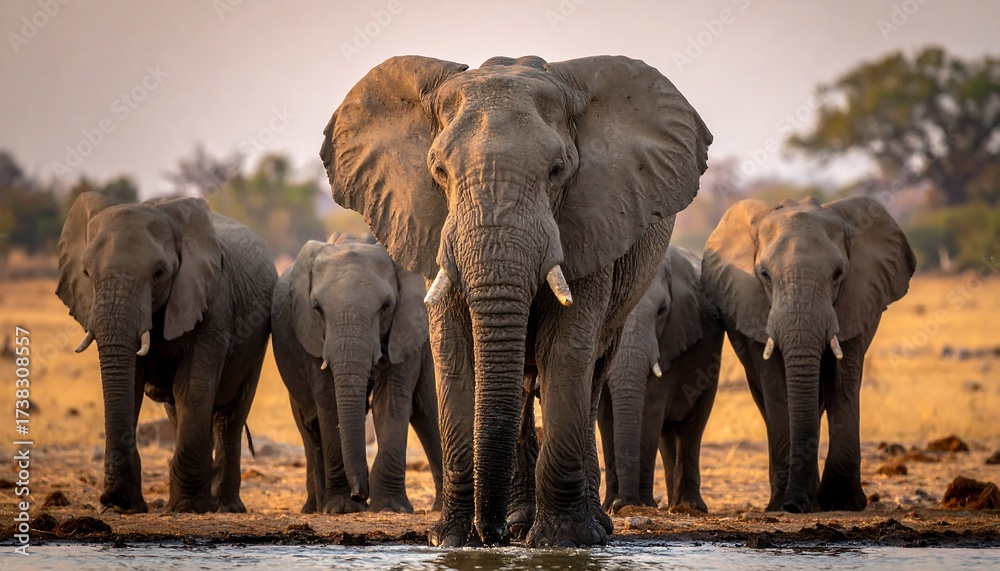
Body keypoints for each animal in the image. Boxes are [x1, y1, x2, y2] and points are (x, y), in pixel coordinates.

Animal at [57, 192, 277, 513]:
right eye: (87, 273)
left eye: (159, 273)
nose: (111, 502)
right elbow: (133, 387)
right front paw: (123, 506)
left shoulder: (212, 302)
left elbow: (193, 386)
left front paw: (190, 508)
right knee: (178, 411)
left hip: (257, 343)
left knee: (230, 415)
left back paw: (225, 506)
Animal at [270, 232, 443, 514]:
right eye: (317, 308)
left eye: (386, 306)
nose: (360, 494)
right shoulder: (310, 336)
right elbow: (329, 403)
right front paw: (342, 508)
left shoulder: (404, 328)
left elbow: (390, 401)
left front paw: (389, 508)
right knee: (308, 425)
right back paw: (314, 508)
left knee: (427, 414)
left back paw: (439, 508)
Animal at [598, 245, 723, 514]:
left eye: (662, 310)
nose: (625, 502)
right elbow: (605, 413)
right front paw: (611, 505)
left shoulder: (673, 336)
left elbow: (652, 406)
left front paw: (642, 504)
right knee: (667, 434)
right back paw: (675, 504)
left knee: (691, 428)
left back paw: (688, 507)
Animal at [701, 196, 915, 513]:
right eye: (764, 275)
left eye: (838, 274)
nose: (794, 505)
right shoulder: (753, 305)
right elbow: (778, 389)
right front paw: (785, 504)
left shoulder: (857, 301)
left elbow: (843, 384)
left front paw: (841, 502)